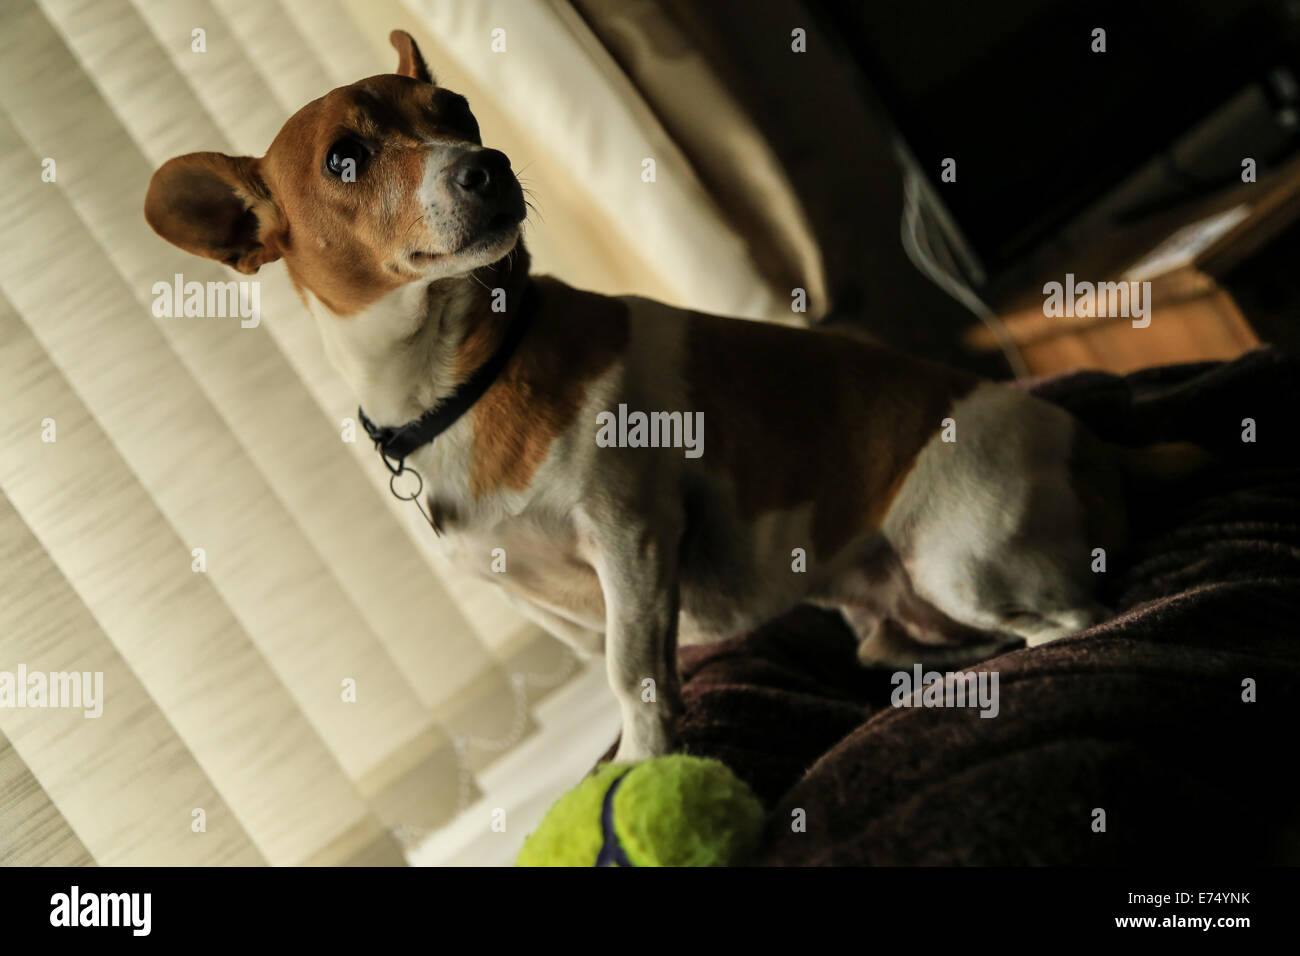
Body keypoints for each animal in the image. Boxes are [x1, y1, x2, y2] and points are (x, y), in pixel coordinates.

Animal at [142, 29, 1196, 764]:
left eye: (459, 110)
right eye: (346, 160)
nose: (488, 166)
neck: (464, 378)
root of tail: (1096, 444)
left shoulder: (630, 536)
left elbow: (631, 672)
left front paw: (648, 764)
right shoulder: (547, 603)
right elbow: (626, 669)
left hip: (958, 556)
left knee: (1074, 621)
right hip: (890, 610)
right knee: (894, 649)